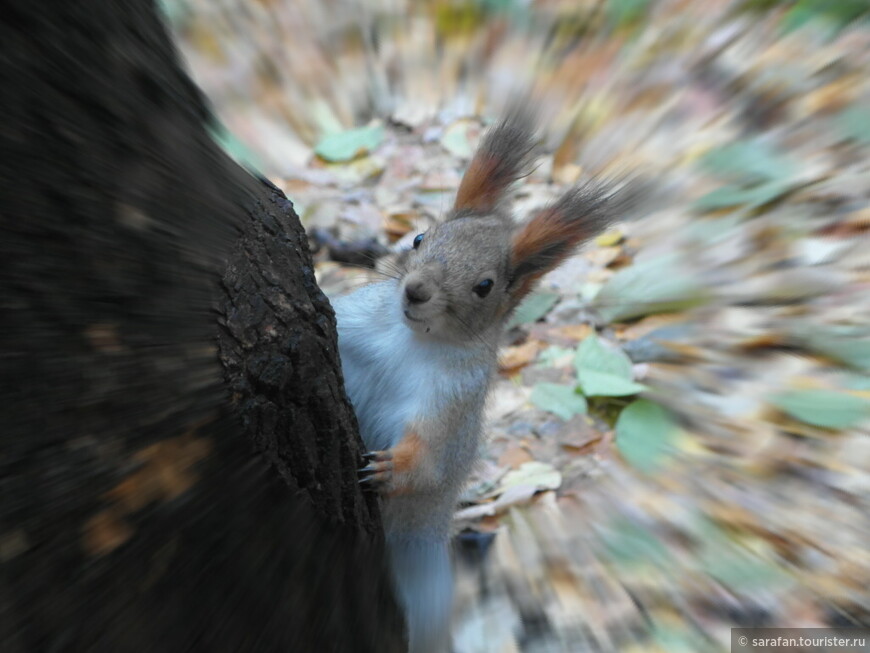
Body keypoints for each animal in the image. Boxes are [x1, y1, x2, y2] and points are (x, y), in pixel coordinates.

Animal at [332, 108, 632, 652]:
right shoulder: (355, 324)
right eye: (420, 238)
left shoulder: (453, 400)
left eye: (484, 285)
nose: (416, 290)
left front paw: (391, 469)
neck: (409, 339)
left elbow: (430, 459)